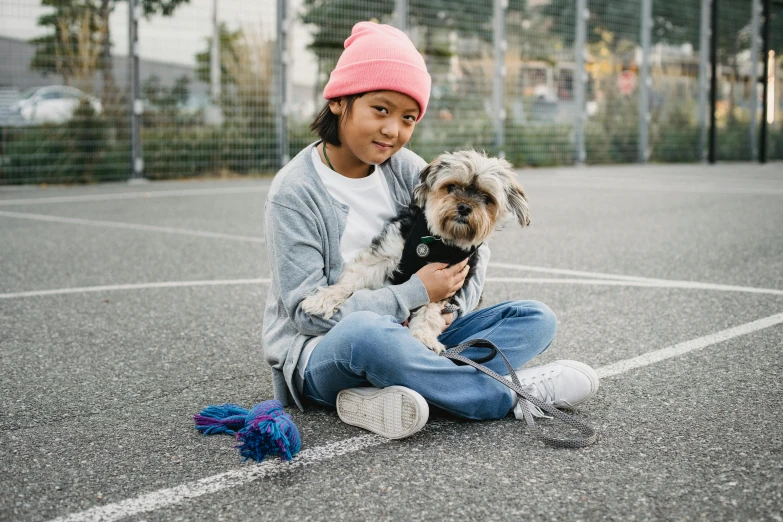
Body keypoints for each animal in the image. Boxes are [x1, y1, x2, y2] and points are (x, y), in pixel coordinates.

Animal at [304, 150, 528, 354]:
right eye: (451, 187)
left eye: (486, 197)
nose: (464, 207)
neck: (438, 241)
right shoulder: (389, 250)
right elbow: (352, 278)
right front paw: (321, 300)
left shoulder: (447, 284)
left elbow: (429, 312)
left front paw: (424, 338)